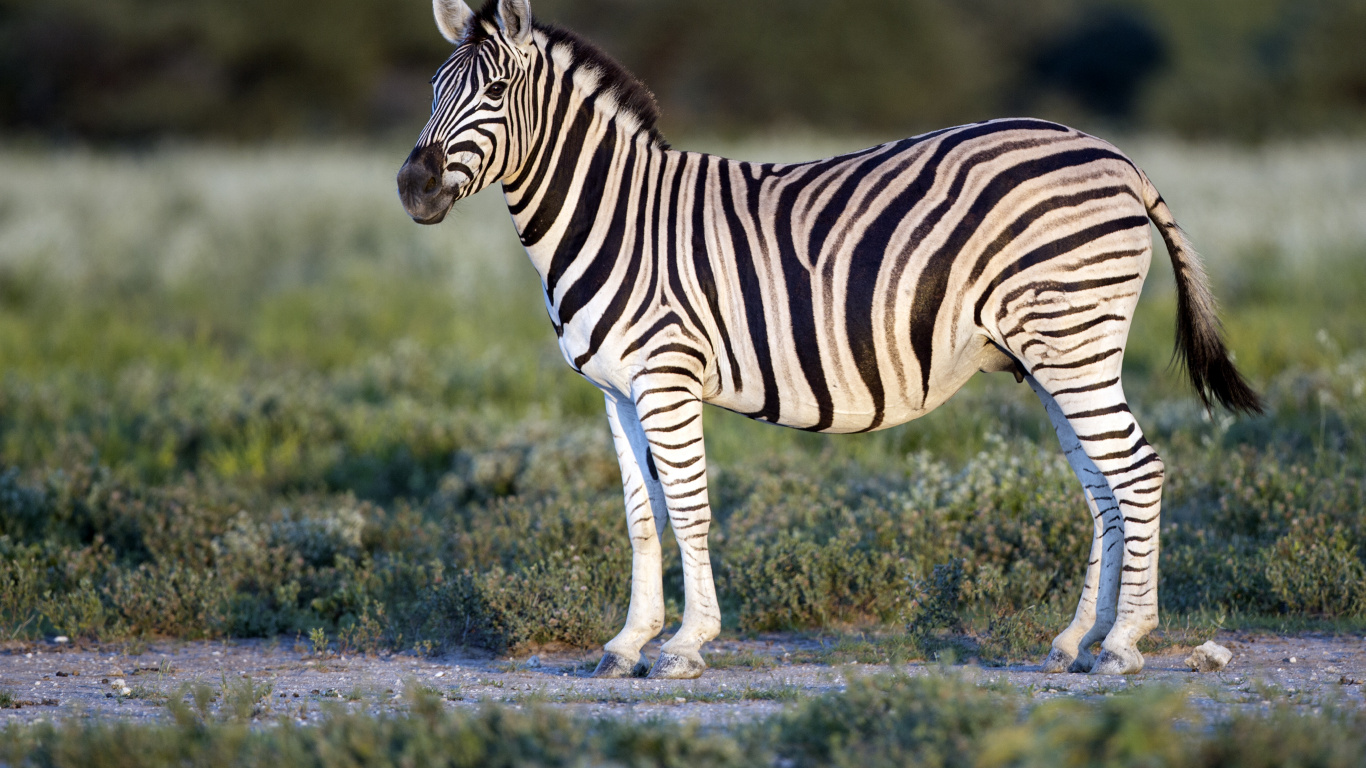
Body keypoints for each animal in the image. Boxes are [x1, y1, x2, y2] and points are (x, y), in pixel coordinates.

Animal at [396, 0, 1256, 675]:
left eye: (495, 92)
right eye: (432, 91)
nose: (413, 186)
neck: (614, 215)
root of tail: (1115, 155)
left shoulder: (668, 374)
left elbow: (690, 508)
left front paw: (685, 645)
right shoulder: (616, 389)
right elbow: (642, 517)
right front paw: (626, 644)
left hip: (1072, 340)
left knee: (1137, 471)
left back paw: (1124, 644)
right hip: (1052, 357)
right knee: (1103, 486)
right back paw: (1078, 638)